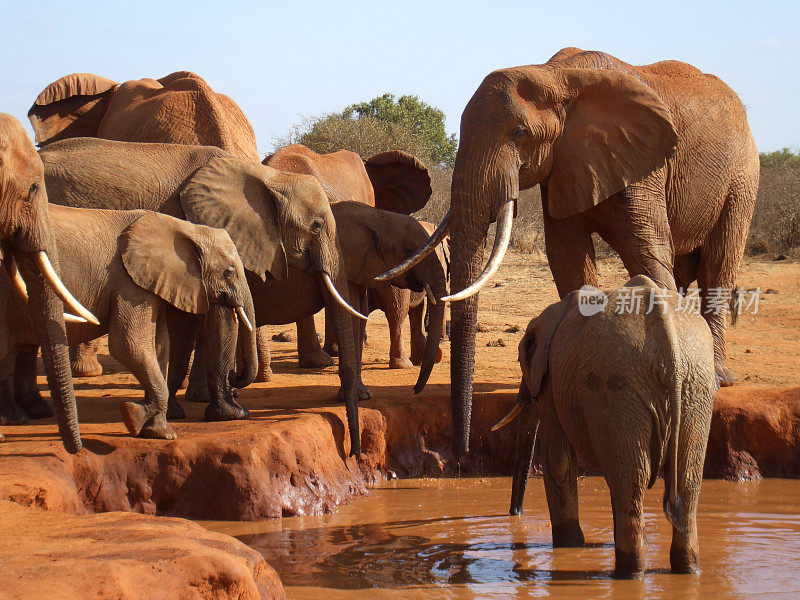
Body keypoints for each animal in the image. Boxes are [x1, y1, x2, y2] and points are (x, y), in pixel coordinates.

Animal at [0, 206, 256, 440]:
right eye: (230, 271)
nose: (234, 377)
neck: (183, 227)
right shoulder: (128, 282)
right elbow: (129, 345)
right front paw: (138, 420)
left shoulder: (149, 282)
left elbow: (160, 345)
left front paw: (151, 428)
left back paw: (18, 418)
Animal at [384, 48, 760, 460]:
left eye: (519, 133)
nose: (461, 452)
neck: (555, 75)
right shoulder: (561, 165)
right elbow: (567, 257)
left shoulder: (642, 163)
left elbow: (647, 250)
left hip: (743, 176)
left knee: (718, 266)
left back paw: (718, 377)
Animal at [496, 276, 716, 576]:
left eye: (521, 359)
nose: (515, 515)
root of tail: (669, 348)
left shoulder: (553, 383)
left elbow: (558, 462)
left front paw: (569, 547)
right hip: (696, 388)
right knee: (685, 483)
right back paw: (688, 571)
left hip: (617, 390)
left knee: (629, 482)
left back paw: (628, 574)